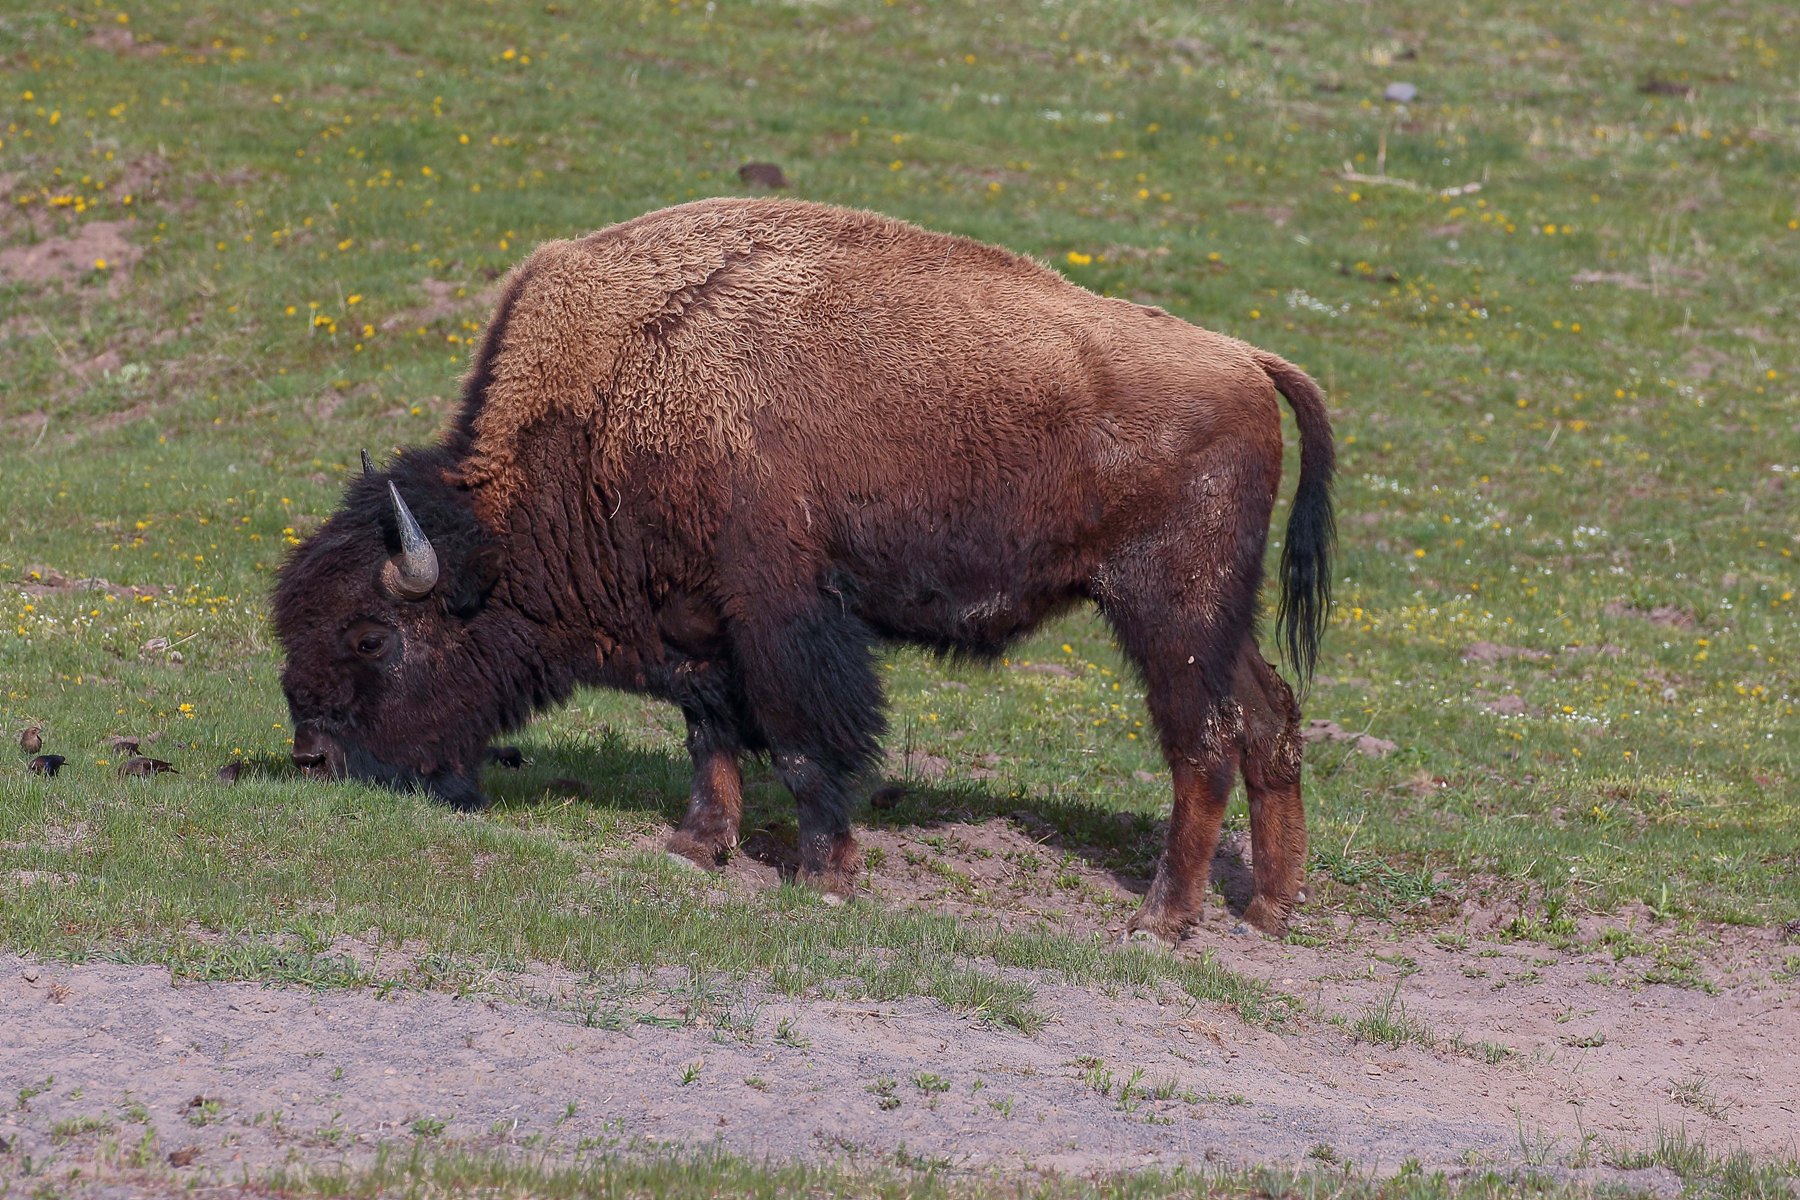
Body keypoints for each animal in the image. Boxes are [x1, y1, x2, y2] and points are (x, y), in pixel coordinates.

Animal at [274, 198, 1334, 944]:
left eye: (371, 636)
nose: (313, 760)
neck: (616, 401)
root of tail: (1247, 358)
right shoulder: (693, 622)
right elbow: (708, 732)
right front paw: (697, 847)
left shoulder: (781, 612)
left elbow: (799, 741)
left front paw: (825, 877)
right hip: (1213, 617)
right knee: (1270, 718)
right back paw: (1269, 910)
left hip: (1166, 610)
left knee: (1202, 744)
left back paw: (1161, 921)